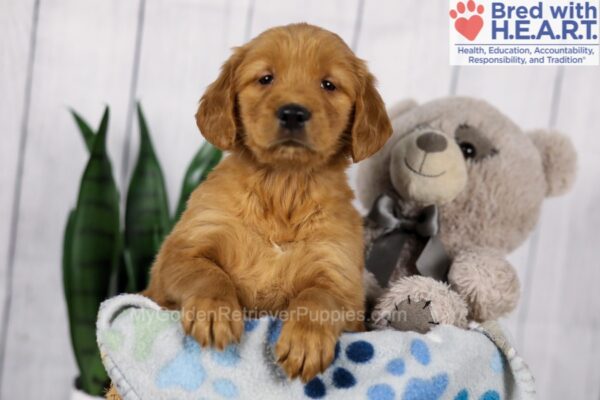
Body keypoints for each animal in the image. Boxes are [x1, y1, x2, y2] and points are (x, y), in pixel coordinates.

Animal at [144, 22, 392, 384]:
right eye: (265, 78)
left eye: (328, 84)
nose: (293, 113)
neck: (282, 189)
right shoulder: (179, 253)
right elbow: (209, 273)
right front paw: (215, 313)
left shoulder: (342, 281)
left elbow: (318, 297)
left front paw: (305, 341)